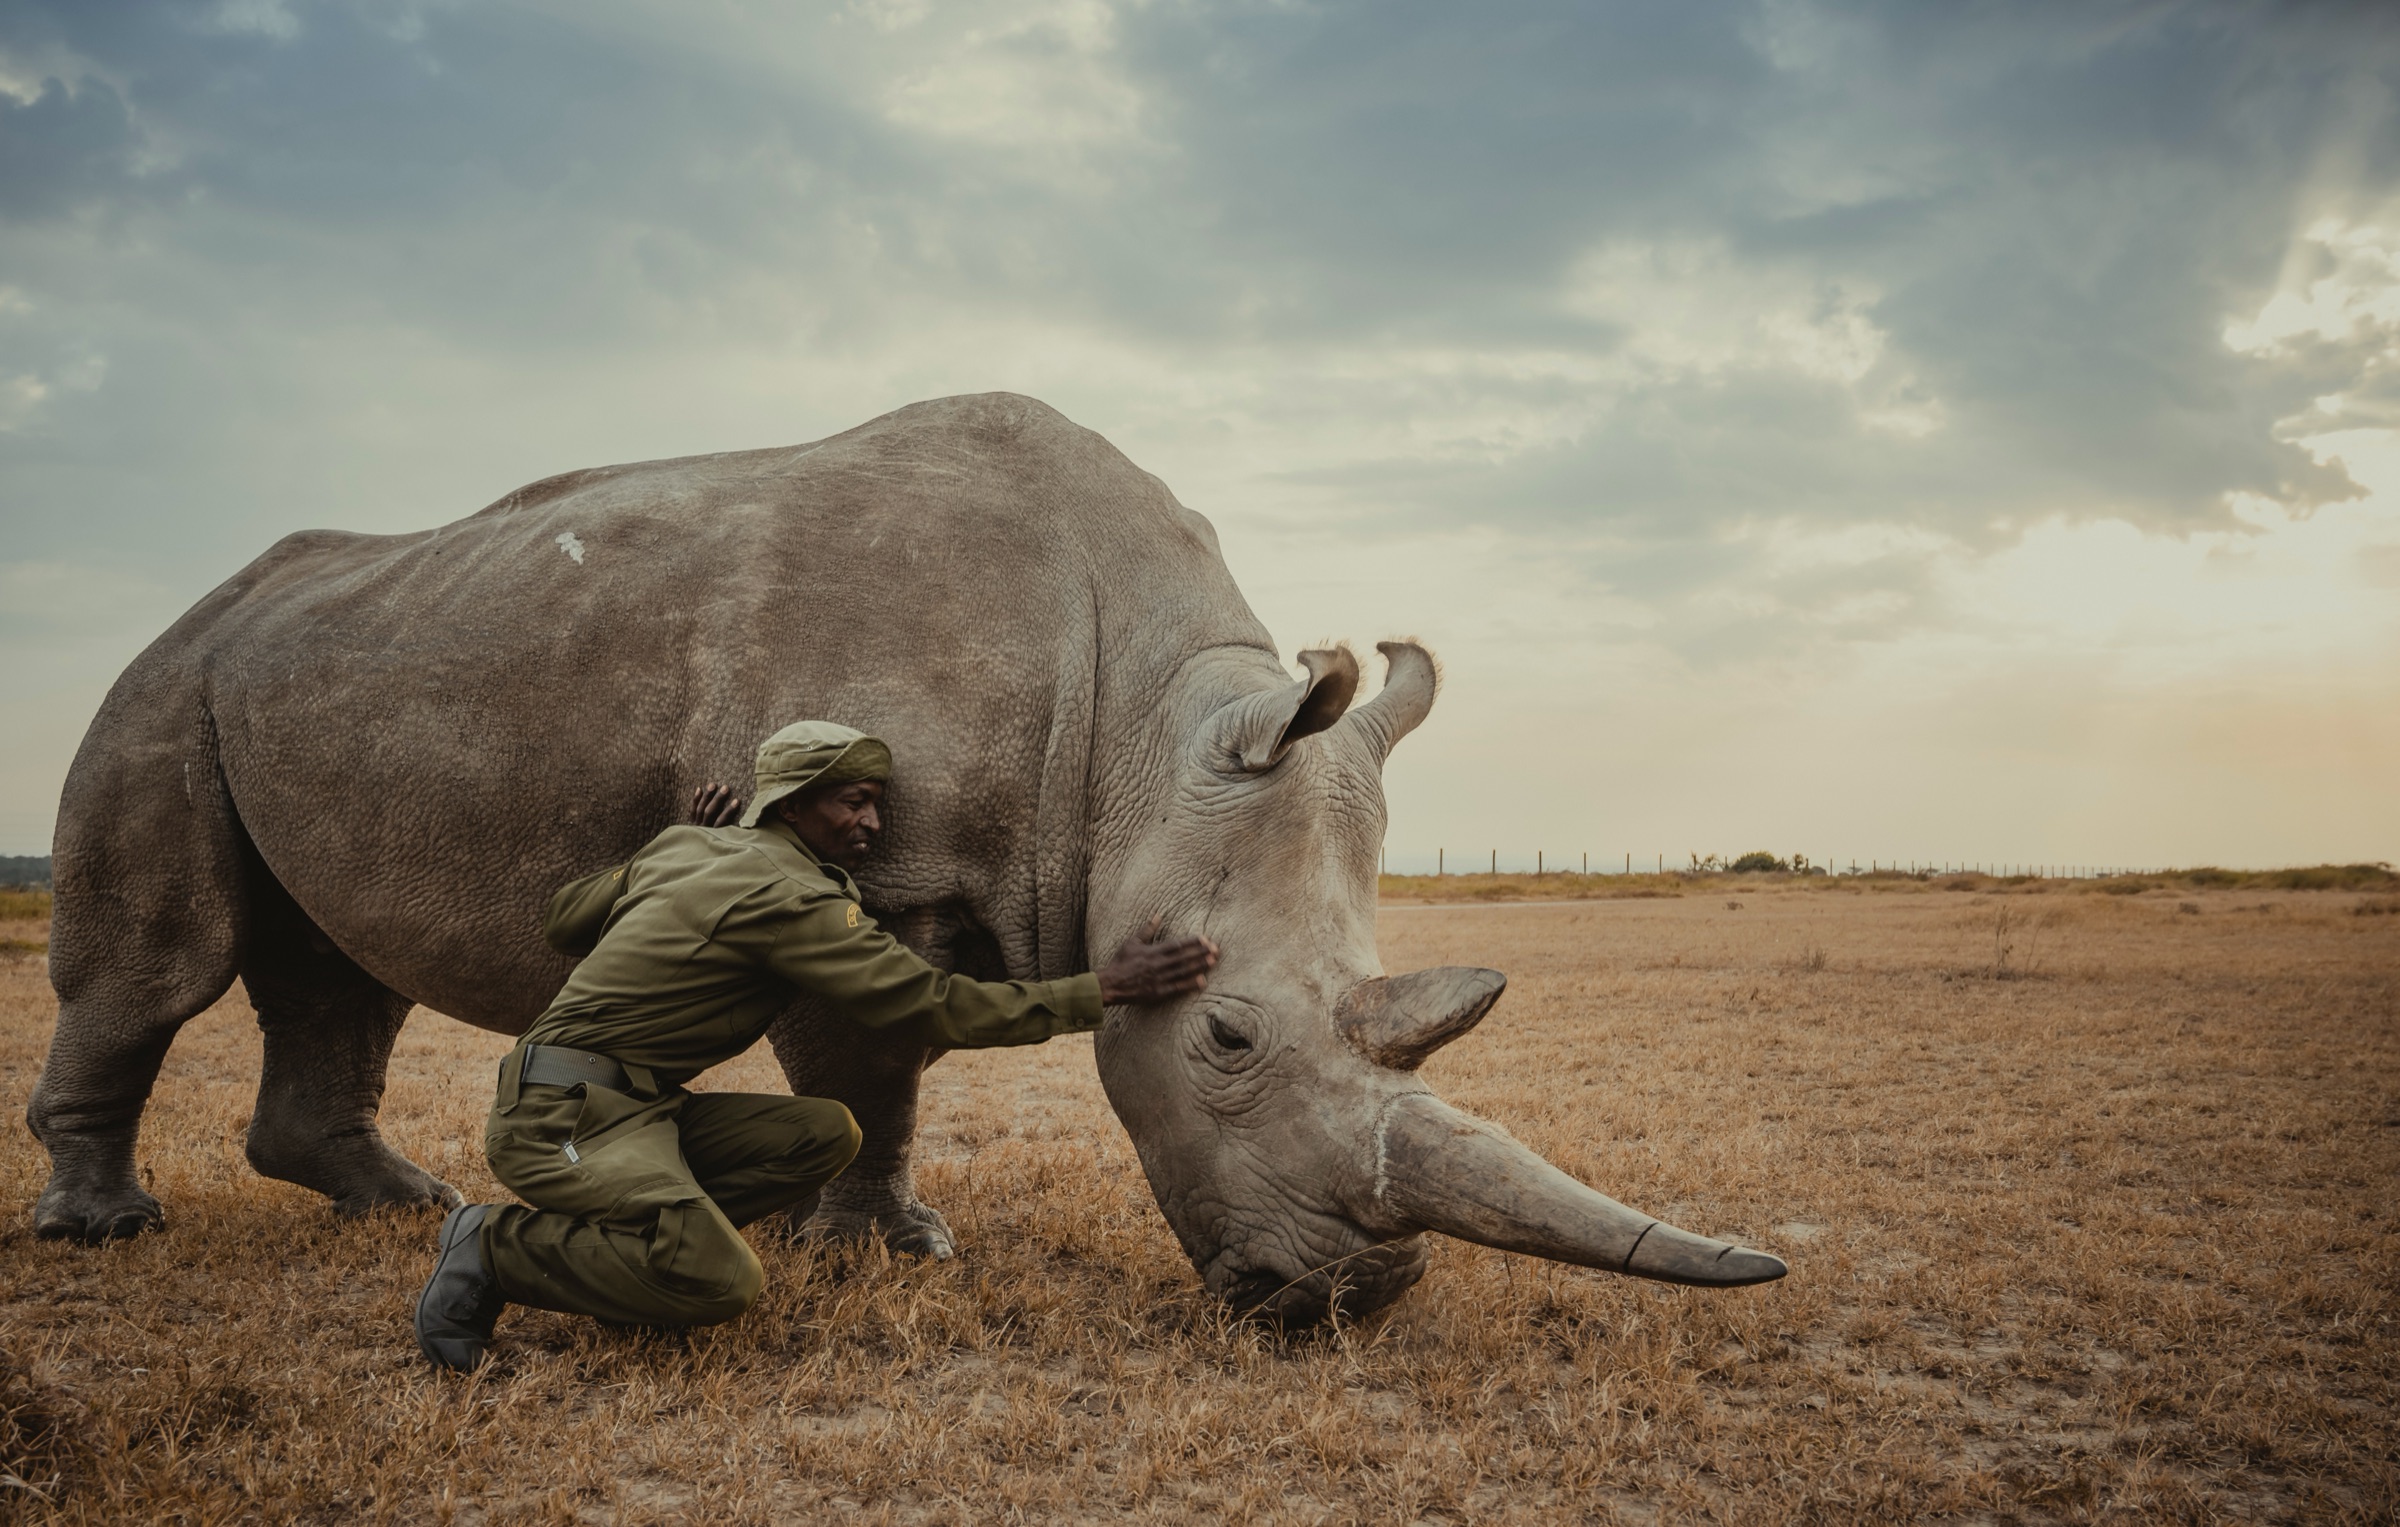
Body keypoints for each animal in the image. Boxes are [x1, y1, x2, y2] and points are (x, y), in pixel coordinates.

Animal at [28, 393, 1784, 1321]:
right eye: (1226, 1036)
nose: (1339, 1303)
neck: (1141, 729)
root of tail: (222, 597)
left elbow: (898, 1064)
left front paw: (884, 1234)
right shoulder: (866, 864)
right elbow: (871, 1057)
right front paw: (891, 1249)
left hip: (325, 669)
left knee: (334, 966)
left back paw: (403, 1205)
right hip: (167, 673)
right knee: (165, 958)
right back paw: (106, 1231)